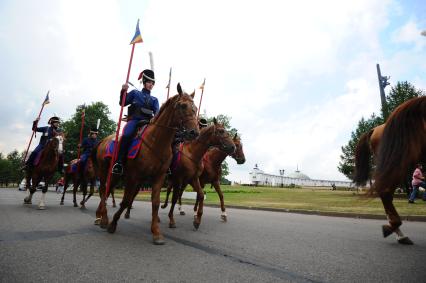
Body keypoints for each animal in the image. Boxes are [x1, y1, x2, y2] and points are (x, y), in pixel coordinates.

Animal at [93, 83, 200, 245]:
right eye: (182, 106)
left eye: (195, 108)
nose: (195, 132)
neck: (157, 142)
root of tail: (104, 140)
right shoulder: (133, 177)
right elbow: (126, 200)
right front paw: (113, 224)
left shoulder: (158, 177)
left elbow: (155, 202)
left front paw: (156, 232)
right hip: (105, 171)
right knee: (103, 190)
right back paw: (104, 218)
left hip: (116, 175)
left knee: (106, 190)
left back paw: (101, 217)